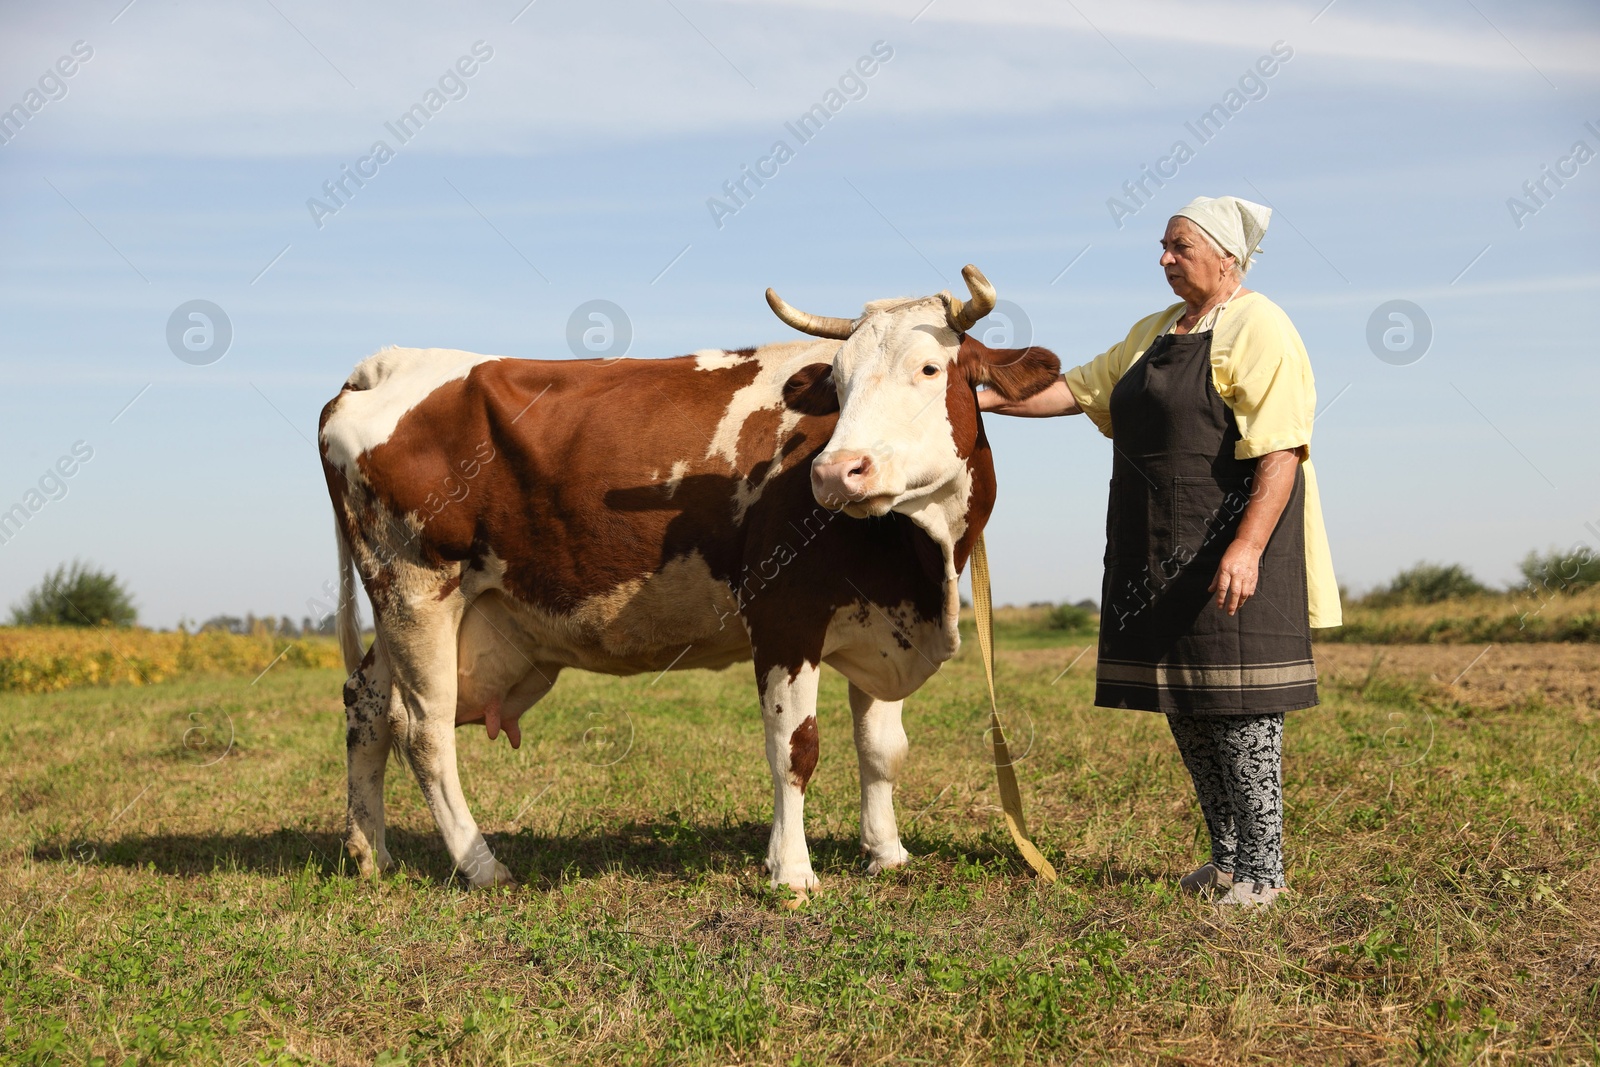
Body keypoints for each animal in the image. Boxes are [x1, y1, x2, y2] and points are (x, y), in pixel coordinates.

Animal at [316, 265, 1056, 895]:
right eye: (839, 386)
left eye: (930, 368)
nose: (834, 471)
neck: (920, 552)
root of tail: (385, 366)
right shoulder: (784, 615)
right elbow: (795, 747)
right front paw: (791, 872)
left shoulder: (881, 622)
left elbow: (882, 750)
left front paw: (888, 853)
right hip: (417, 589)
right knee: (424, 728)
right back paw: (480, 864)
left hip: (414, 607)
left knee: (368, 704)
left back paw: (371, 853)